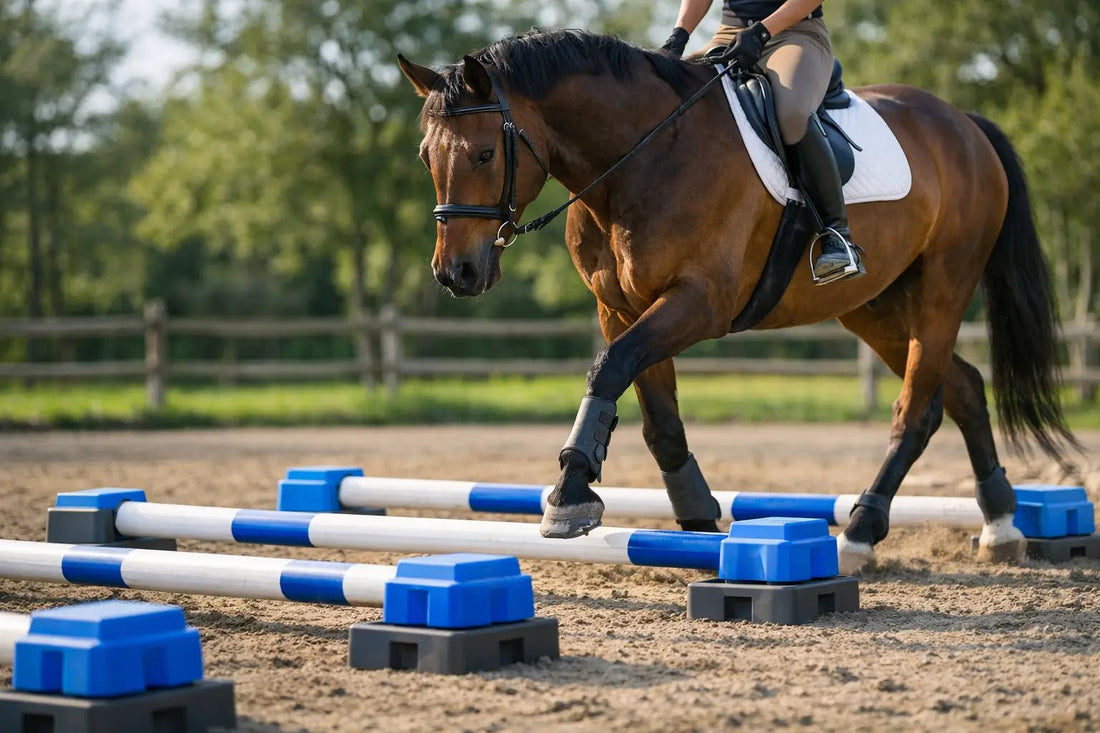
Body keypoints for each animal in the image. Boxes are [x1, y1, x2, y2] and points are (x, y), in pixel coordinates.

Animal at [398, 28, 1076, 573]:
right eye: (427, 157)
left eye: (486, 153)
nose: (456, 273)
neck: (640, 160)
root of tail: (962, 121)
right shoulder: (620, 308)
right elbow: (658, 418)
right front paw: (697, 520)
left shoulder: (699, 302)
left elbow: (609, 369)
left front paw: (569, 498)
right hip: (876, 305)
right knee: (960, 389)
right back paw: (1001, 525)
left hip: (942, 289)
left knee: (916, 410)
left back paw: (860, 533)